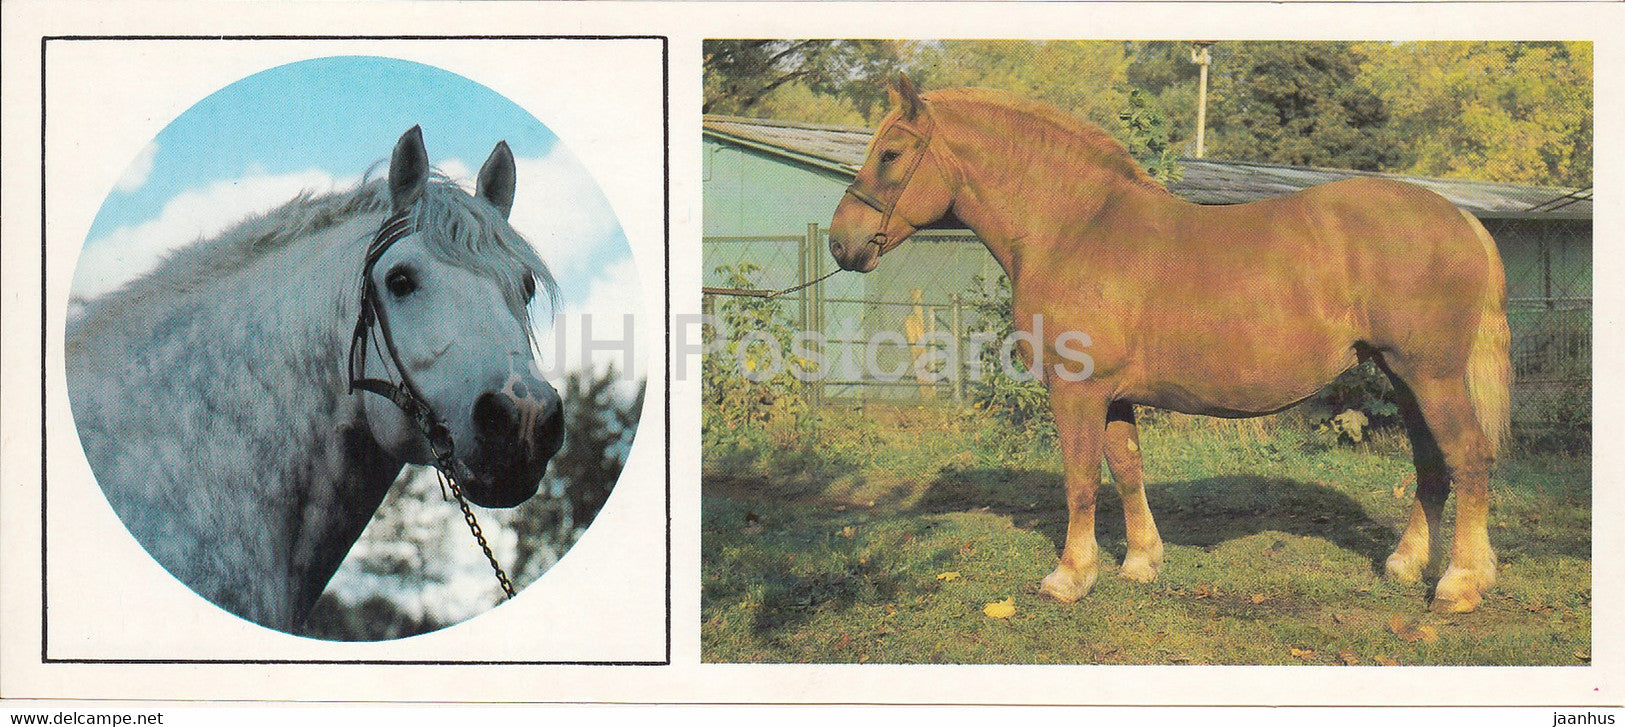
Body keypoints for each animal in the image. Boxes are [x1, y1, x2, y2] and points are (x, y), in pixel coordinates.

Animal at [828, 76, 1511, 614]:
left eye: (890, 153)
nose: (841, 242)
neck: (1075, 227)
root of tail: (1460, 219)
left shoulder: (1076, 390)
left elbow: (1081, 479)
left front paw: (1070, 577)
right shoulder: (1114, 395)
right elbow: (1127, 468)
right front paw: (1140, 562)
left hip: (1430, 375)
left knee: (1468, 458)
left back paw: (1458, 584)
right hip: (1403, 376)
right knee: (1431, 466)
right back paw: (1407, 565)